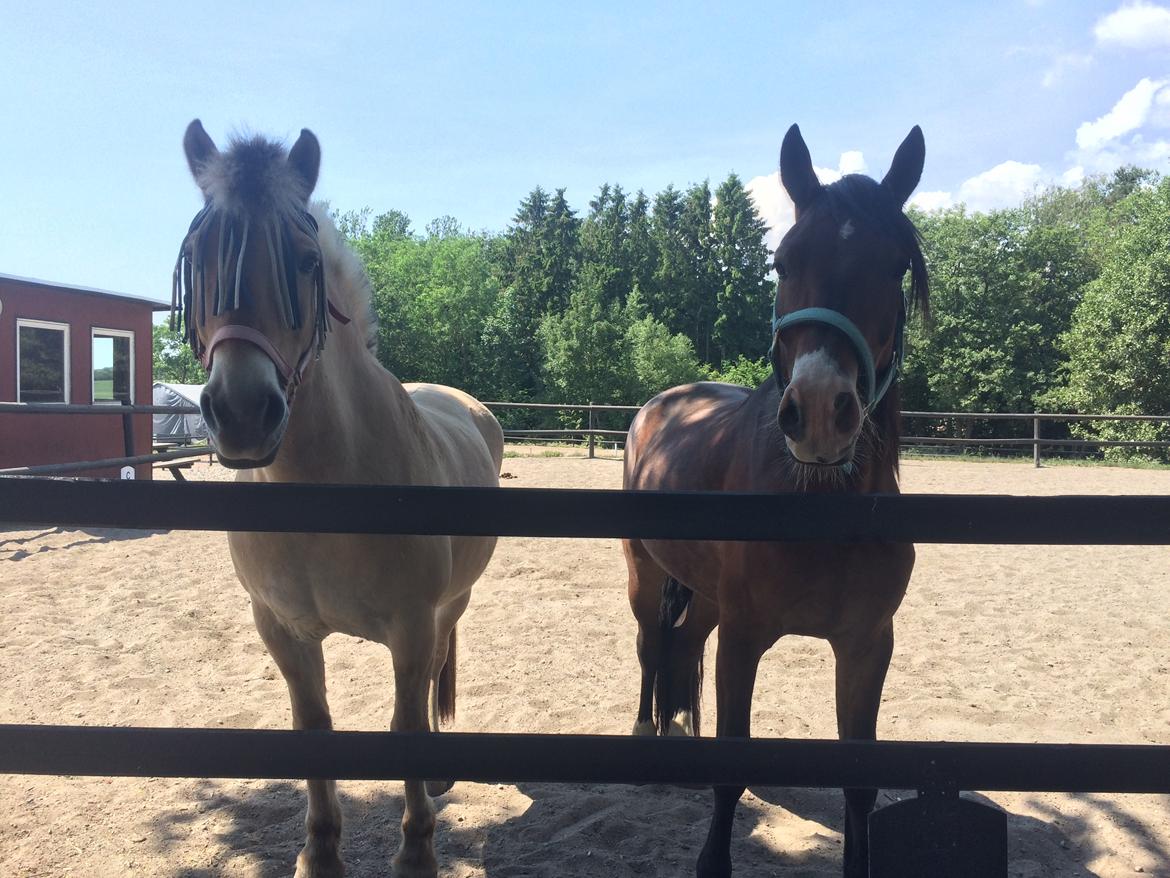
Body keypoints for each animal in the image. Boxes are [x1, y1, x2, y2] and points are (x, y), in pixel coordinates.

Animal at [175, 118, 505, 878]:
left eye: (302, 261)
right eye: (198, 259)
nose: (242, 414)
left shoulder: (412, 625)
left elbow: (406, 724)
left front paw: (416, 851)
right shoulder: (282, 630)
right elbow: (315, 728)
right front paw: (320, 852)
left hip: (451, 606)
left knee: (434, 675)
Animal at [627, 125, 926, 878]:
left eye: (894, 266)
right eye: (784, 260)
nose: (820, 412)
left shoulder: (866, 645)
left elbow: (859, 784)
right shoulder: (743, 637)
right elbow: (731, 771)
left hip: (704, 595)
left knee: (681, 644)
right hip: (643, 573)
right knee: (649, 644)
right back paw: (646, 728)